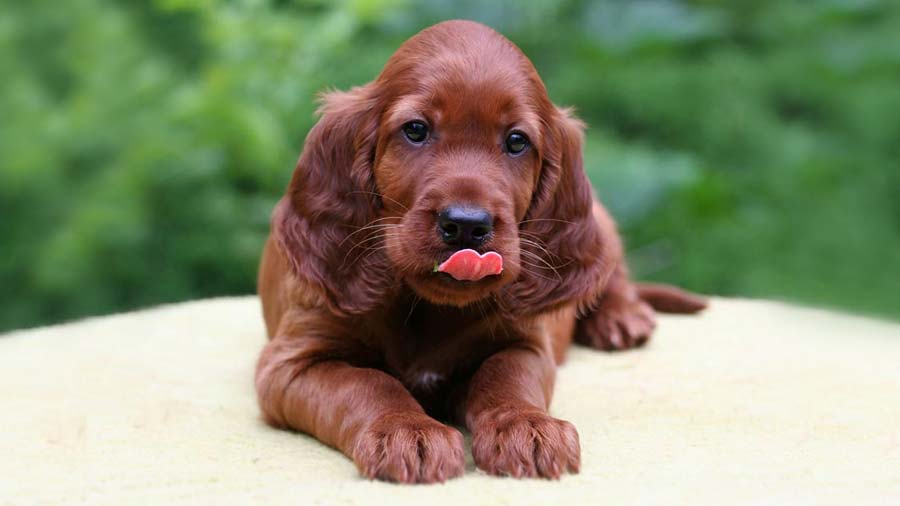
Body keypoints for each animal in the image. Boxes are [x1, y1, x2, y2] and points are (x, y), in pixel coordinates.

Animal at [253, 19, 704, 484]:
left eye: (517, 141)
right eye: (416, 130)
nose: (467, 225)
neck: (427, 304)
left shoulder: (526, 345)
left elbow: (503, 377)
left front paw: (526, 426)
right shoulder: (291, 363)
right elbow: (367, 384)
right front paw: (407, 431)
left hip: (601, 224)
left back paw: (620, 317)